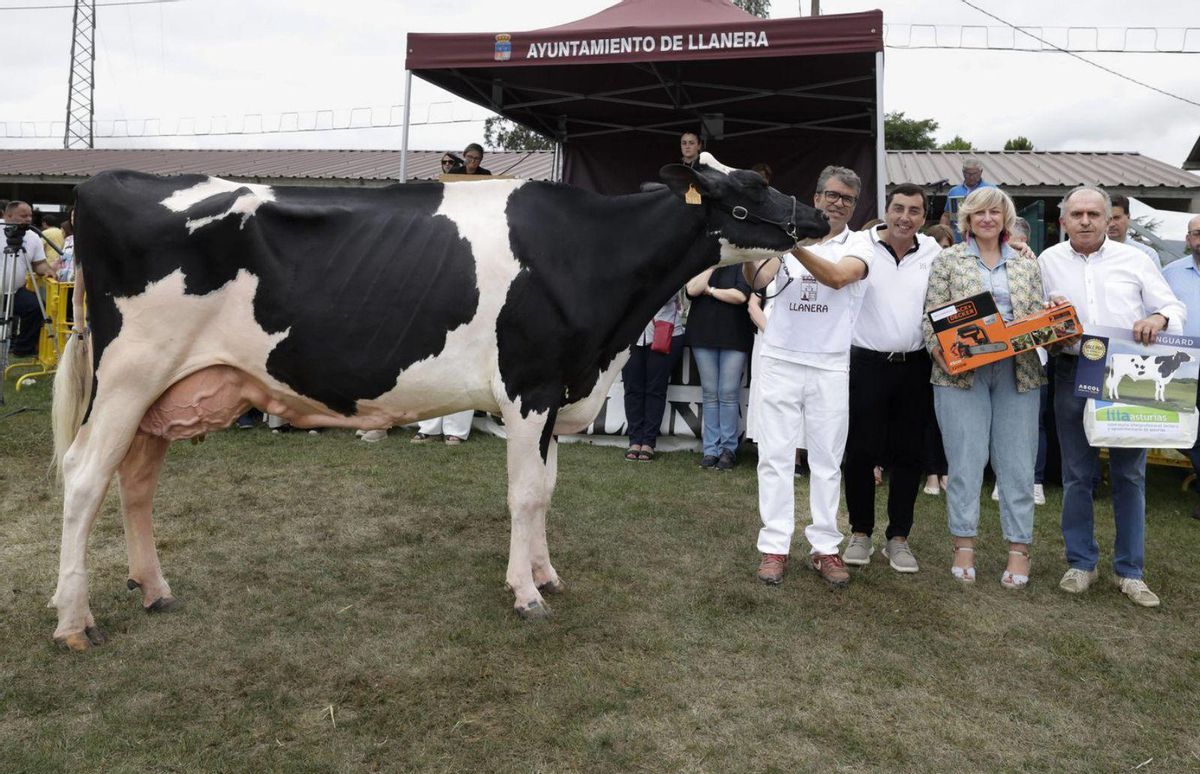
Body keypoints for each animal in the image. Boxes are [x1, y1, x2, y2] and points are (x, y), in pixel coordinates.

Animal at [51, 151, 830, 648]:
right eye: (751, 186)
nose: (821, 218)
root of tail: (107, 183)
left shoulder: (555, 396)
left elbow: (546, 491)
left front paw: (546, 574)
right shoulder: (529, 387)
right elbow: (525, 494)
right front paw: (525, 594)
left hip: (162, 392)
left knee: (135, 482)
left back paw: (152, 588)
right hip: (129, 374)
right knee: (85, 478)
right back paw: (72, 621)